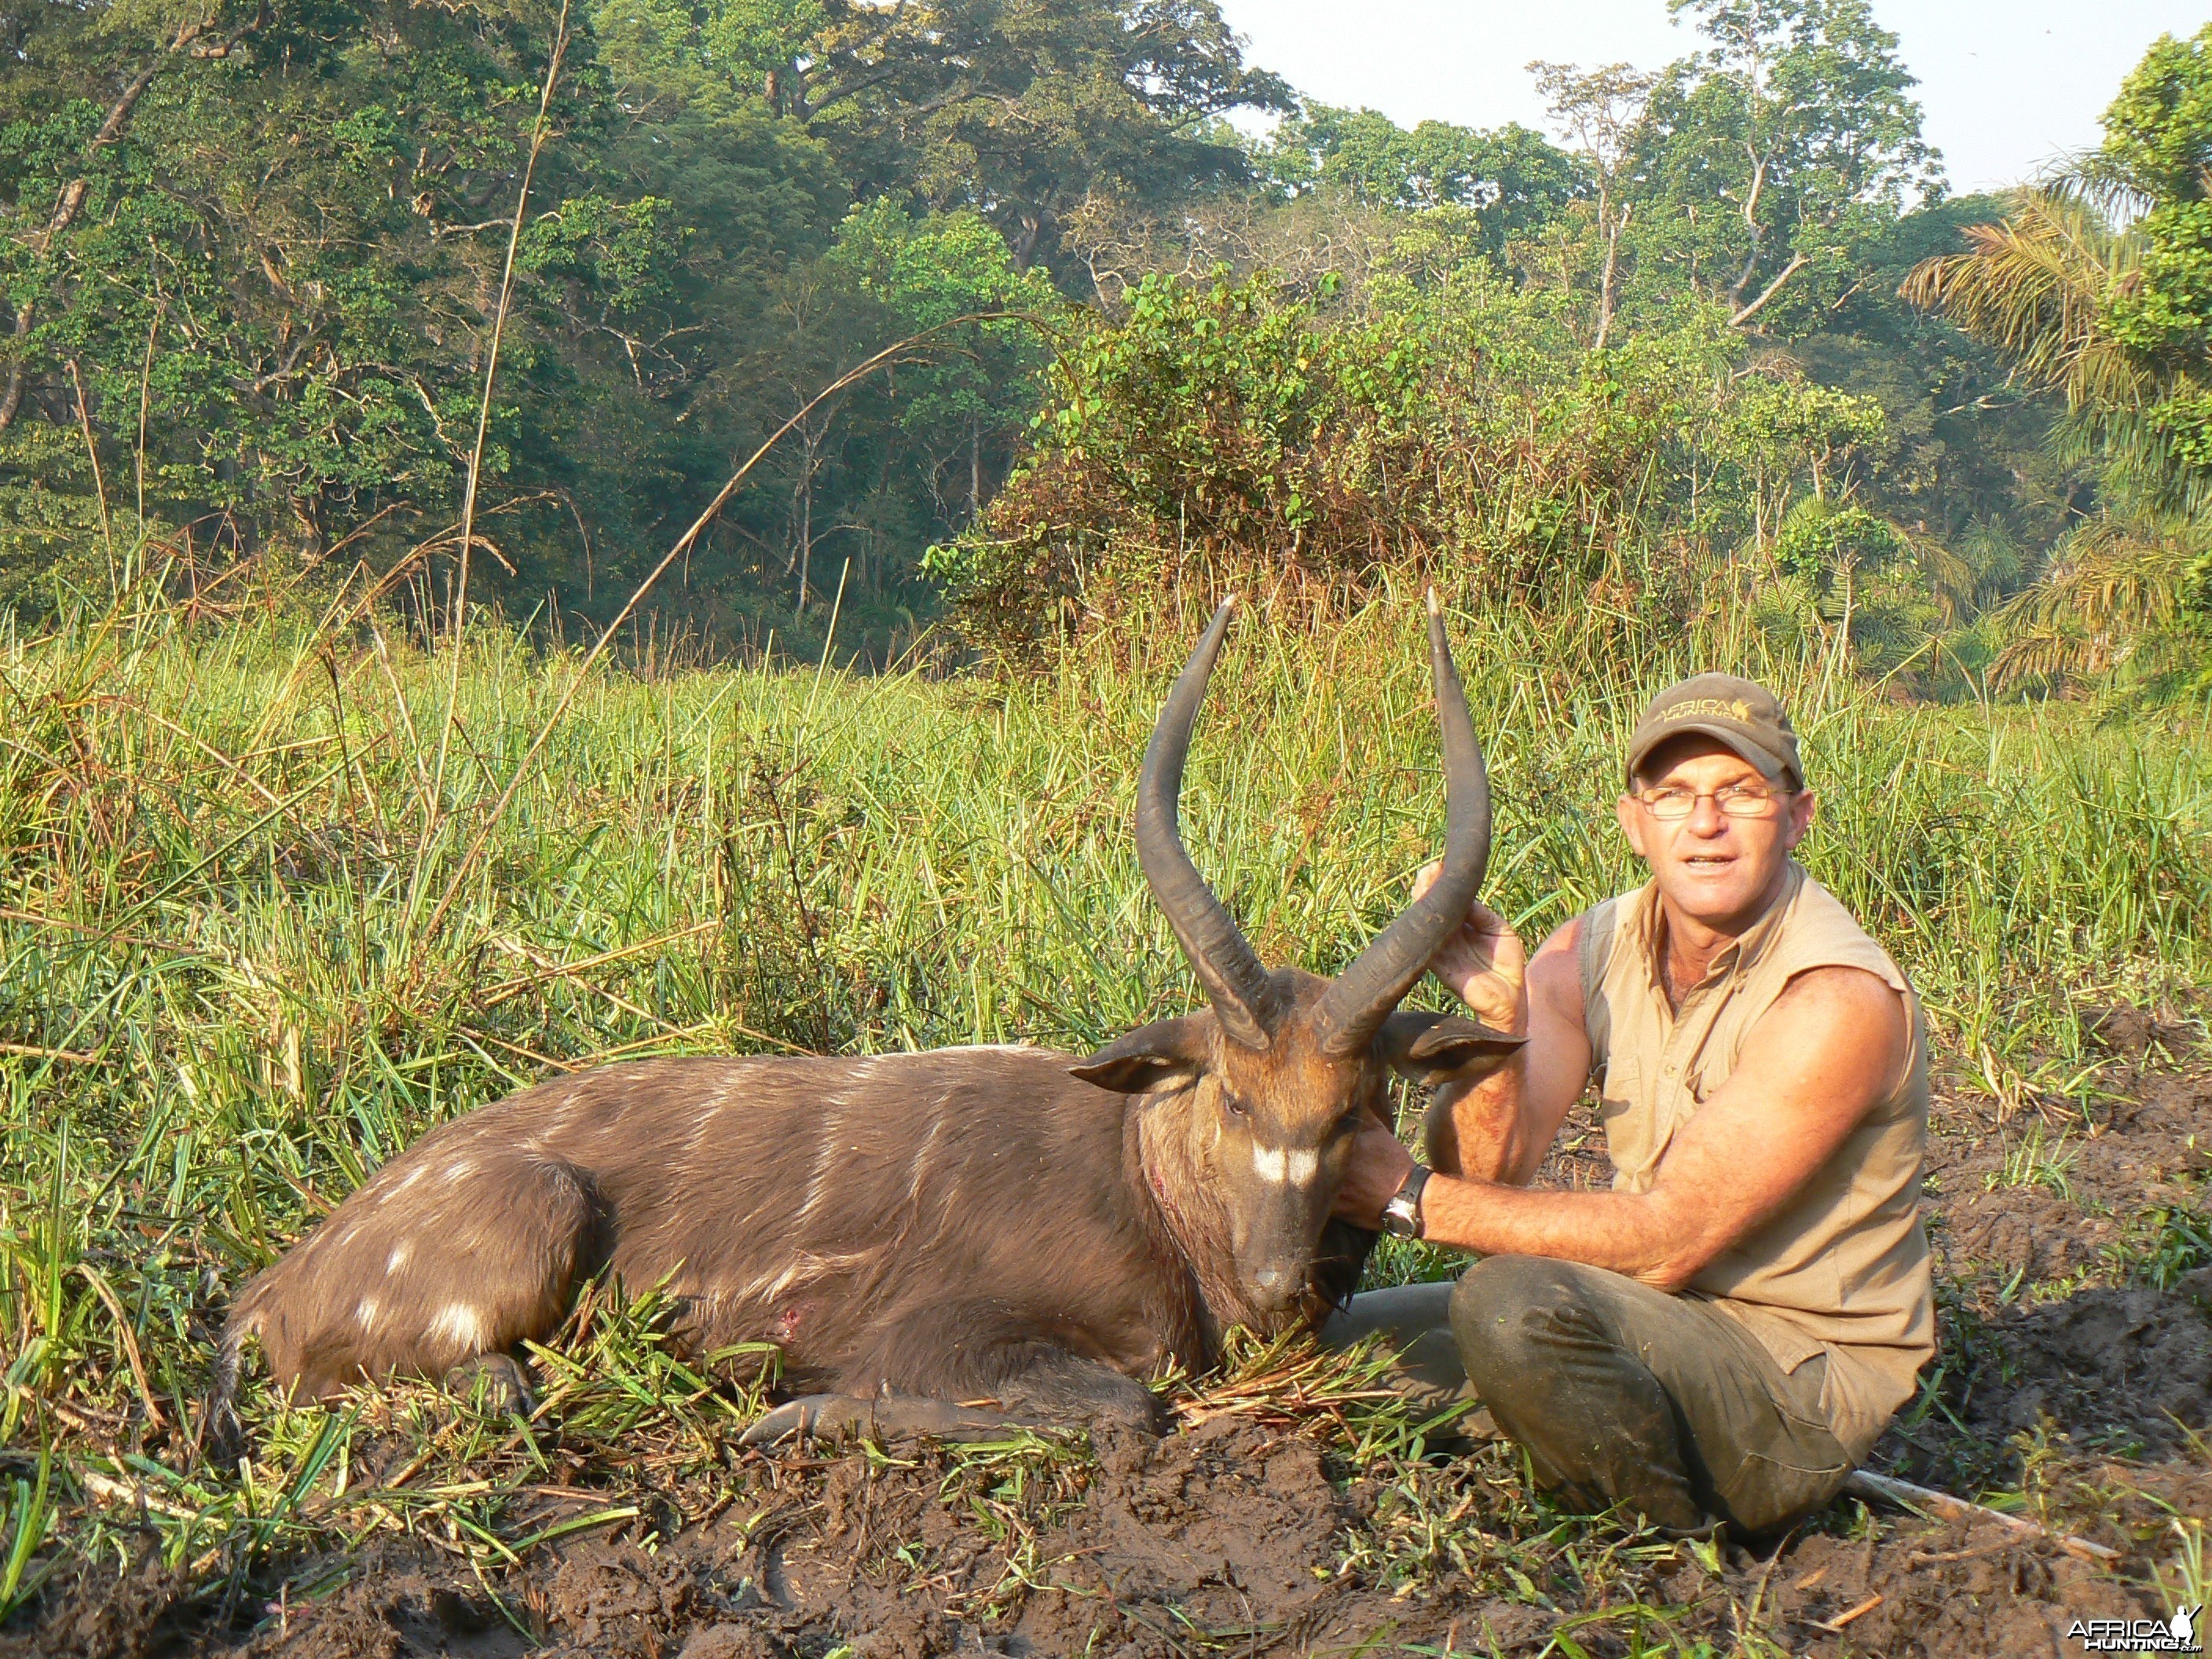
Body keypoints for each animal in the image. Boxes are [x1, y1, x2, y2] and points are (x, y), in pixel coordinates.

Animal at [211, 597, 1522, 1451]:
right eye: (1235, 1097)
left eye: (1359, 1108)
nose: (1279, 1280)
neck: (1149, 1181)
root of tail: (269, 1289)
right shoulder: (944, 1331)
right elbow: (1122, 1409)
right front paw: (794, 1414)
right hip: (534, 1219)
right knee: (444, 1384)